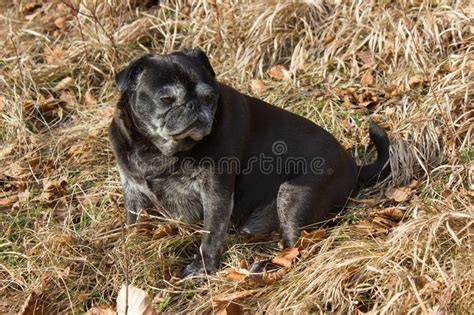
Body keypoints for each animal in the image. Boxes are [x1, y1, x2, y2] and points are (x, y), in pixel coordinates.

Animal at [109, 48, 390, 278]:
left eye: (209, 97)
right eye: (166, 99)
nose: (194, 106)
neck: (160, 150)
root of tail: (354, 167)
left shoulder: (216, 192)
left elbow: (212, 234)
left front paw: (203, 269)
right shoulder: (133, 192)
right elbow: (133, 223)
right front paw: (129, 248)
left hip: (293, 196)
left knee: (299, 248)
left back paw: (269, 266)